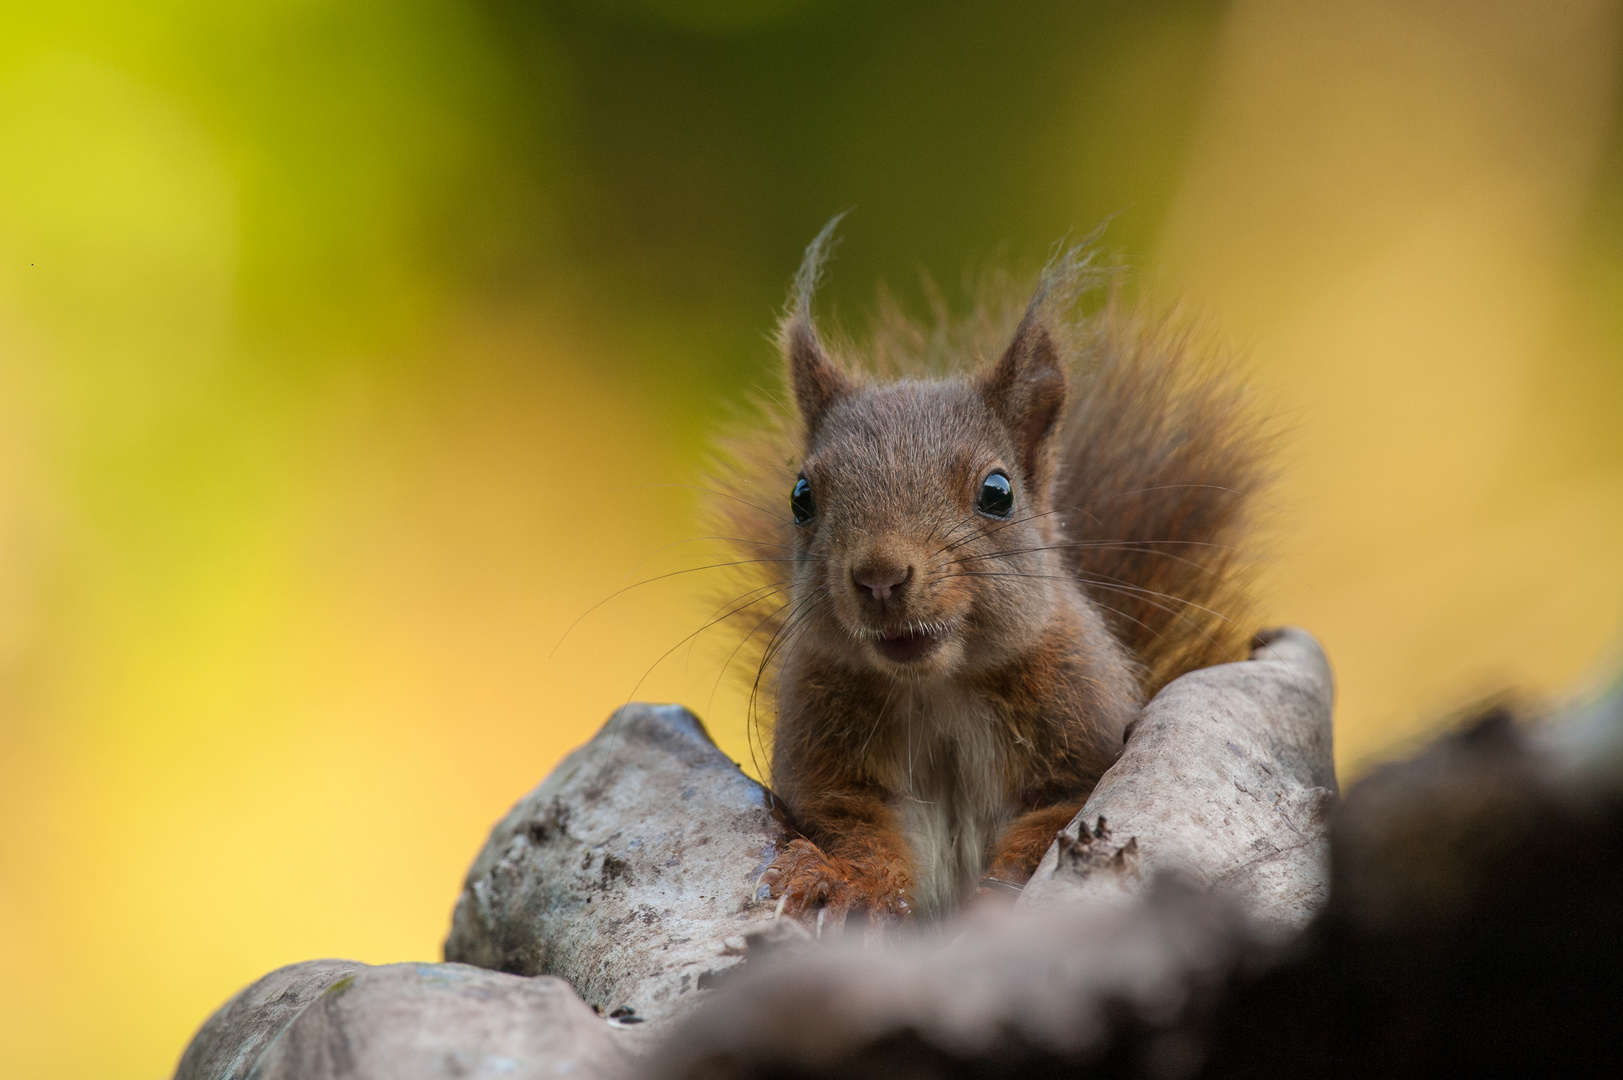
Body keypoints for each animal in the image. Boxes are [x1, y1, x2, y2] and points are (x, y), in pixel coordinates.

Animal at [710, 220, 1265, 928]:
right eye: (801, 497)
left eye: (997, 493)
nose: (880, 576)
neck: (937, 689)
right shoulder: (833, 771)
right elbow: (857, 830)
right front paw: (841, 880)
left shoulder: (1080, 757)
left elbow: (1049, 828)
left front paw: (997, 899)